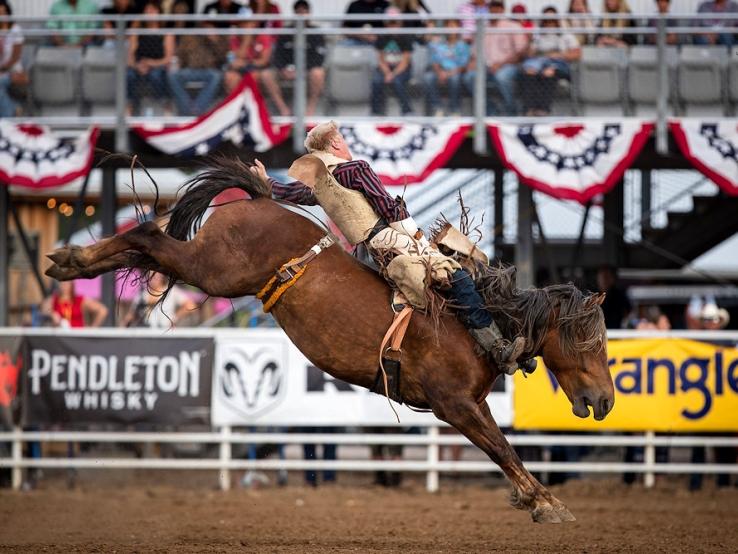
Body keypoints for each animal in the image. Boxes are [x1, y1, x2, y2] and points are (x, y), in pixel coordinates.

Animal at [43, 156, 612, 520]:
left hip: (206, 268)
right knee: (146, 237)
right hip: (213, 270)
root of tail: (258, 200)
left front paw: (531, 498)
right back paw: (73, 259)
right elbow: (502, 447)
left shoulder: (469, 404)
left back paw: (70, 261)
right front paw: (546, 502)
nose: (606, 401)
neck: (477, 324)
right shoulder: (455, 405)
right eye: (592, 345)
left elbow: (501, 448)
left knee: (143, 247)